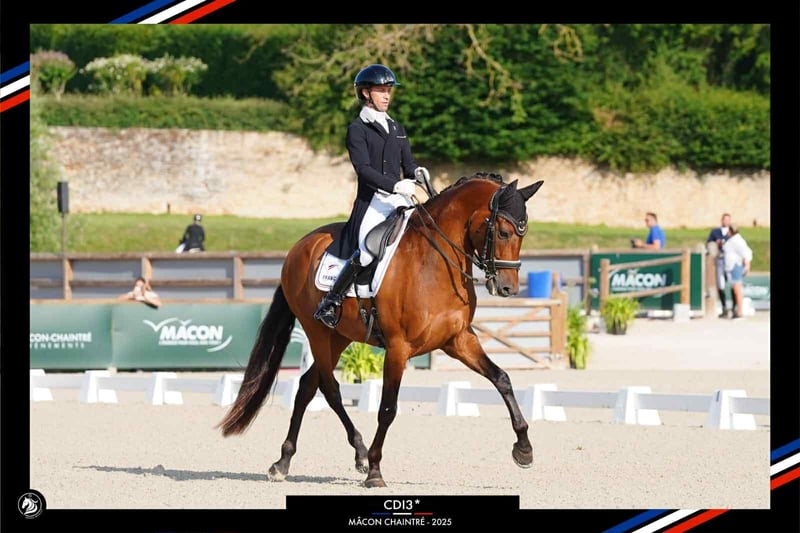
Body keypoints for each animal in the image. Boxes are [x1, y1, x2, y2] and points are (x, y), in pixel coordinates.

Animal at [219, 172, 544, 488]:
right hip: (317, 332)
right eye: (503, 232)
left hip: (338, 337)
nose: (507, 288)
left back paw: (285, 461)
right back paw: (357, 454)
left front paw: (524, 449)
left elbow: (502, 379)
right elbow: (388, 408)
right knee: (330, 388)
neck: (434, 262)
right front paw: (375, 471)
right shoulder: (399, 348)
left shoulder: (458, 339)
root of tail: (298, 247)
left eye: (524, 233)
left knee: (307, 386)